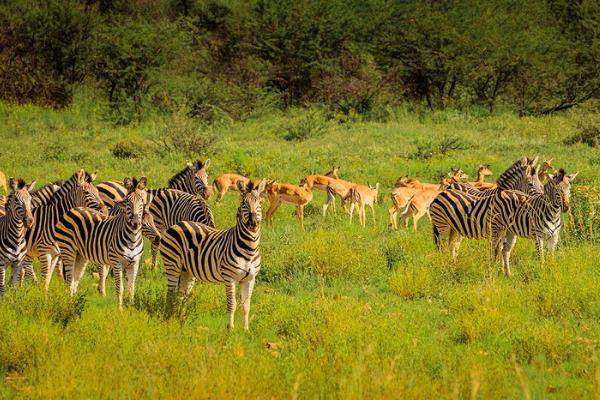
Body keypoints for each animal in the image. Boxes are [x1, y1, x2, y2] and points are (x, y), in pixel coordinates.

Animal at [56, 176, 151, 306]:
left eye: (141, 200)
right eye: (127, 201)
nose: (135, 223)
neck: (132, 238)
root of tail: (74, 209)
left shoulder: (135, 263)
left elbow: (131, 289)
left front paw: (130, 308)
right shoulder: (117, 263)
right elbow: (120, 289)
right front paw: (119, 310)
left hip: (80, 255)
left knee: (75, 280)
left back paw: (73, 303)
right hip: (67, 250)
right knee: (69, 280)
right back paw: (69, 305)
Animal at [159, 180, 268, 330]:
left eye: (260, 203)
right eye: (243, 203)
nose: (252, 223)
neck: (249, 249)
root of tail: (179, 223)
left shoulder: (250, 279)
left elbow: (246, 306)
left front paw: (246, 330)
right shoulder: (230, 278)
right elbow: (232, 304)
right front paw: (230, 329)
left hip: (187, 271)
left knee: (182, 294)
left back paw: (180, 318)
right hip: (172, 265)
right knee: (171, 293)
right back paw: (168, 318)